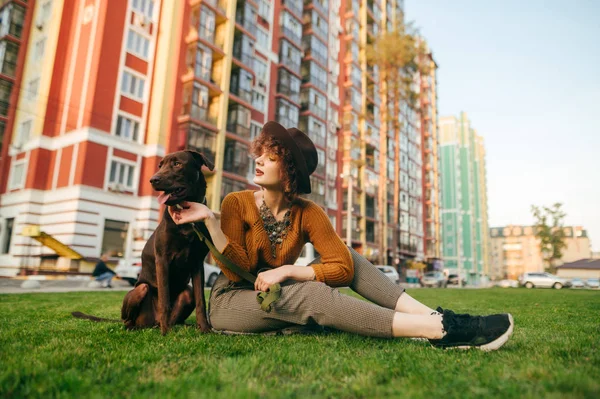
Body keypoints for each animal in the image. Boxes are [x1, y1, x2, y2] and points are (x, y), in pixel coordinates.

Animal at [120, 150, 214, 334]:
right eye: (160, 165)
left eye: (177, 164)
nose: (153, 180)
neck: (187, 218)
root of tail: (151, 323)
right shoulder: (162, 259)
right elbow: (164, 298)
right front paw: (166, 334)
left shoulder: (197, 263)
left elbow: (201, 300)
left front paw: (205, 328)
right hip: (140, 290)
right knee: (128, 320)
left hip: (187, 292)